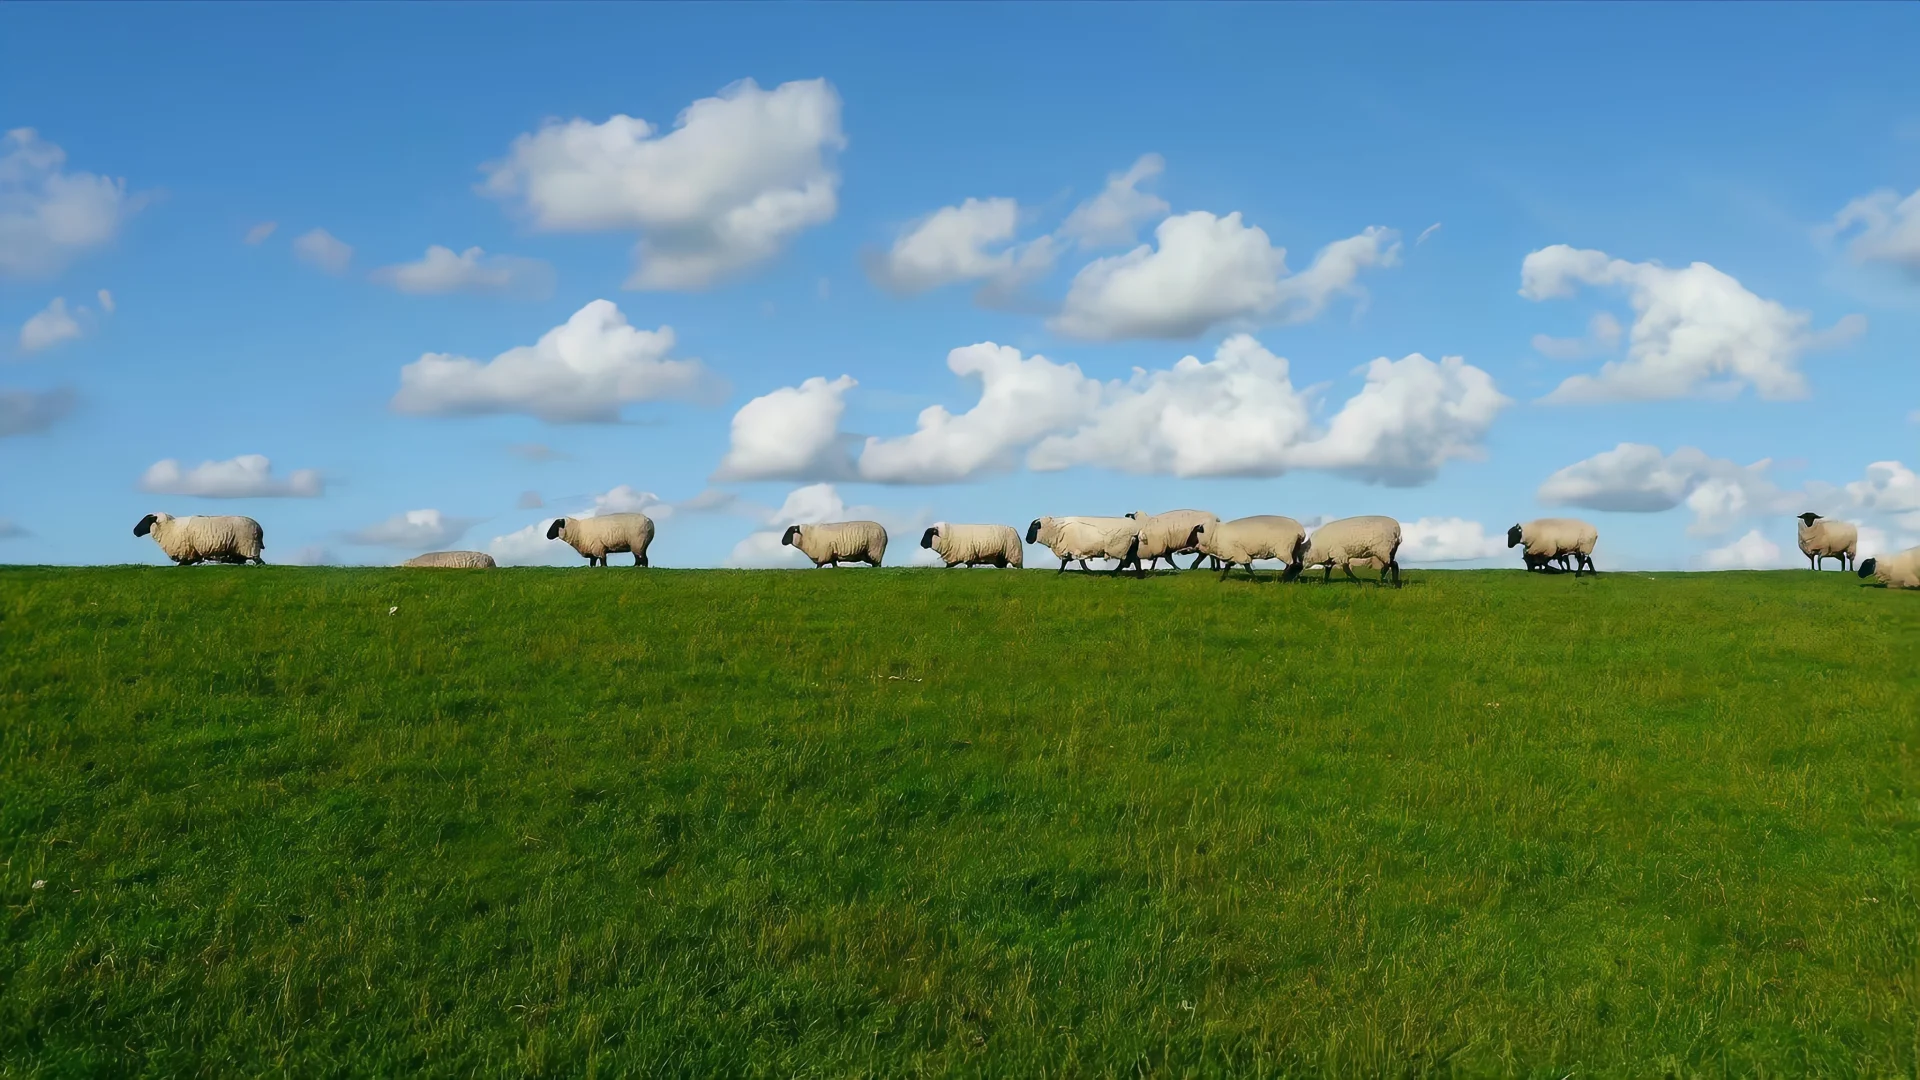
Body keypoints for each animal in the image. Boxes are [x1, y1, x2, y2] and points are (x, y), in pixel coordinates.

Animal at [133, 511, 264, 564]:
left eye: (146, 520)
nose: (134, 531)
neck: (170, 527)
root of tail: (259, 528)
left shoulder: (186, 552)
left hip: (249, 546)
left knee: (259, 562)